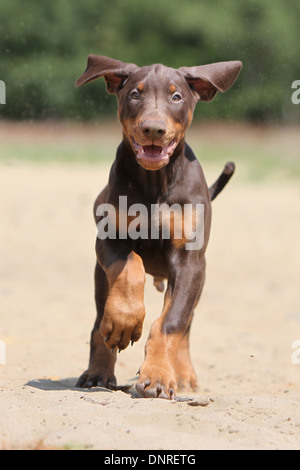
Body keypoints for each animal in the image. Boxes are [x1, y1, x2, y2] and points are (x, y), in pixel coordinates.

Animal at [75, 56, 241, 400]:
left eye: (176, 97)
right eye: (134, 94)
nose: (153, 128)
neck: (155, 182)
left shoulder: (189, 261)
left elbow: (171, 322)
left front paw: (159, 376)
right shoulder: (108, 239)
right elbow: (130, 266)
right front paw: (125, 320)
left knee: (185, 325)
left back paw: (184, 374)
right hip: (100, 277)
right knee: (98, 323)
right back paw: (98, 372)